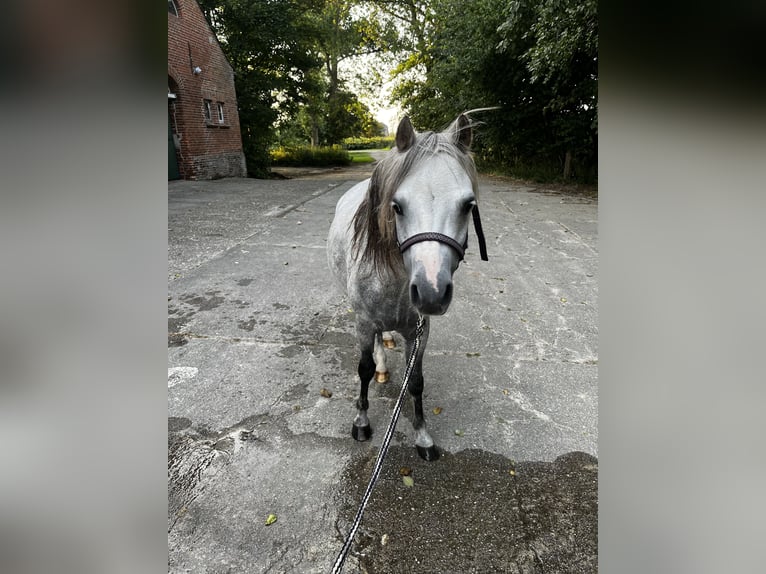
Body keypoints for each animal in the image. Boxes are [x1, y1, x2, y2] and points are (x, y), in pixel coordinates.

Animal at [327, 114, 487, 461]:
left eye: (468, 205)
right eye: (397, 206)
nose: (431, 293)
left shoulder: (419, 333)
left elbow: (415, 382)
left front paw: (422, 435)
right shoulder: (363, 323)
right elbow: (363, 369)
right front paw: (361, 421)